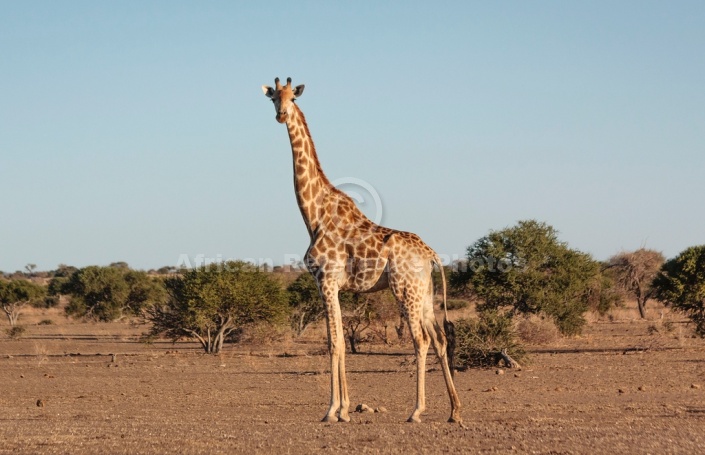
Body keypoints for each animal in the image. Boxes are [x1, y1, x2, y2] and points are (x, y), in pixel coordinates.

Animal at [262, 77, 460, 424]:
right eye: (274, 97)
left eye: (291, 97)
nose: (281, 114)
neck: (313, 215)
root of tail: (431, 254)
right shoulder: (334, 286)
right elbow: (339, 341)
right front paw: (343, 410)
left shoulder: (326, 280)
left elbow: (334, 344)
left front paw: (331, 411)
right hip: (424, 293)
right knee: (439, 338)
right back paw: (454, 410)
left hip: (405, 291)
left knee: (421, 340)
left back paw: (416, 411)